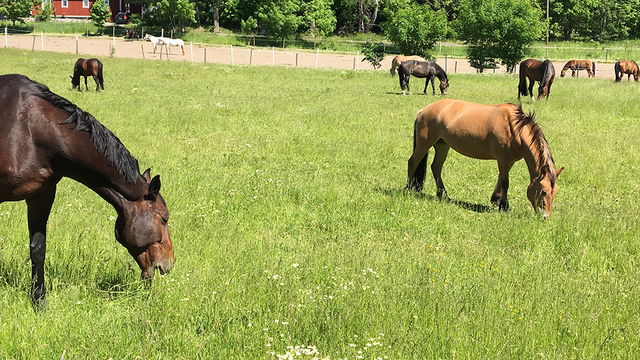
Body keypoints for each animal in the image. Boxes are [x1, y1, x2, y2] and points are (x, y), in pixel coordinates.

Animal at [0, 74, 175, 308]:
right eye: (164, 218)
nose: (169, 262)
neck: (29, 128)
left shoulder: (42, 195)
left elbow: (37, 248)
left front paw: (39, 299)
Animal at [408, 98, 564, 217]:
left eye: (555, 192)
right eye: (543, 191)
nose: (545, 217)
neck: (514, 128)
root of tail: (423, 110)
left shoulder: (509, 161)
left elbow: (500, 179)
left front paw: (495, 199)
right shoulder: (503, 160)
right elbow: (505, 182)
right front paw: (504, 206)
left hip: (442, 146)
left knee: (436, 167)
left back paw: (443, 195)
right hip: (424, 143)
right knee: (413, 162)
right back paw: (409, 188)